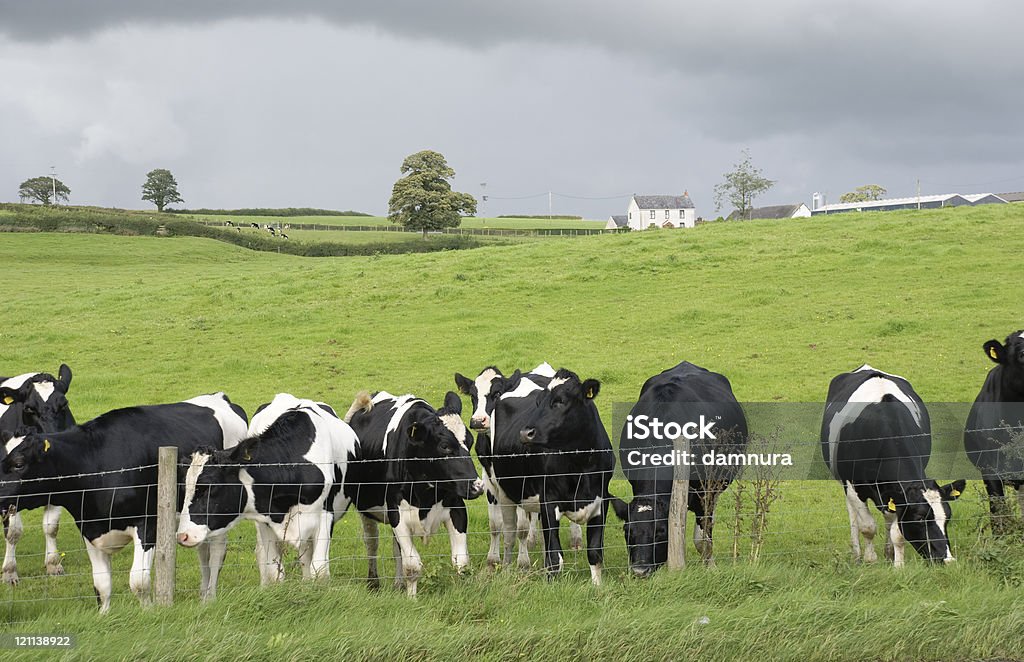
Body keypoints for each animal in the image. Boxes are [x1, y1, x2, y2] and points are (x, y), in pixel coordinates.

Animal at [0, 391, 246, 614]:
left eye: (19, 463)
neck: (95, 464)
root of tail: (220, 397)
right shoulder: (89, 529)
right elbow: (101, 585)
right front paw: (104, 616)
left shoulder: (147, 524)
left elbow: (138, 581)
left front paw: (148, 612)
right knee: (203, 550)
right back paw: (203, 595)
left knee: (216, 553)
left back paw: (210, 597)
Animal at [172, 393, 356, 586]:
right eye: (185, 488)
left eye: (208, 487)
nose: (182, 535)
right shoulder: (265, 519)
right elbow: (274, 572)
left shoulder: (325, 514)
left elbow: (319, 571)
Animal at [483, 370, 610, 582]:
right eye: (538, 402)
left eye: (560, 401)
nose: (525, 433)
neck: (580, 465)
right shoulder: (549, 500)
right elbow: (554, 557)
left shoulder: (601, 500)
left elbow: (595, 552)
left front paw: (597, 585)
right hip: (502, 491)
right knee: (509, 534)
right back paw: (507, 569)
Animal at [610, 362, 749, 573]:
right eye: (627, 531)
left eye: (660, 532)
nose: (640, 570)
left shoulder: (705, 492)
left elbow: (702, 540)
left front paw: (710, 567)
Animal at [819, 364, 962, 569]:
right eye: (920, 518)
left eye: (948, 517)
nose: (948, 560)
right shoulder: (854, 487)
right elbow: (867, 526)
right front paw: (870, 560)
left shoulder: (898, 495)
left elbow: (897, 532)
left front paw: (897, 565)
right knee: (853, 516)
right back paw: (857, 555)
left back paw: (888, 553)